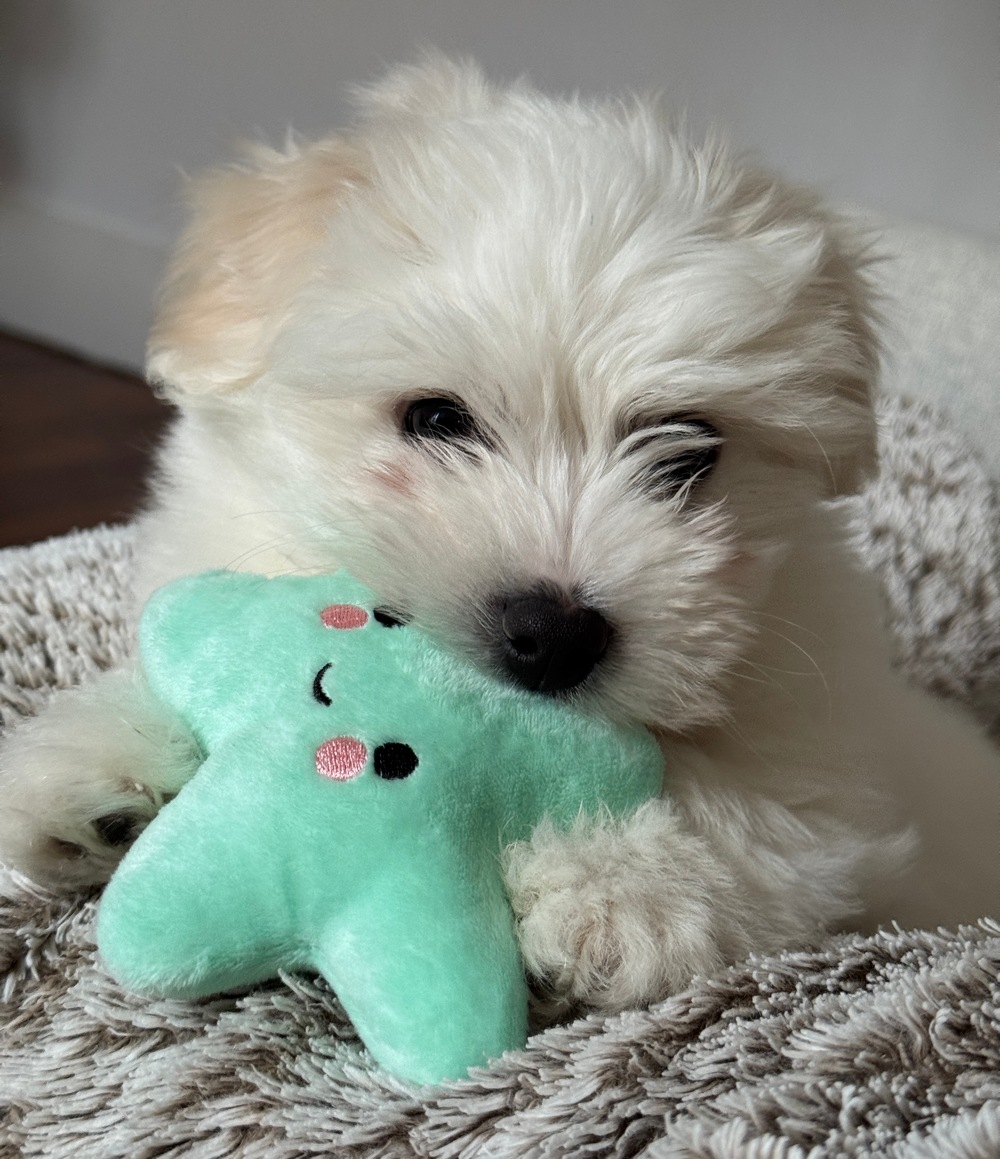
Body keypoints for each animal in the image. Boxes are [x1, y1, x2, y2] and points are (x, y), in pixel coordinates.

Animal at [2, 56, 998, 1017]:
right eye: (437, 418)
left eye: (690, 453)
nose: (554, 634)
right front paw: (96, 768)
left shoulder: (830, 766)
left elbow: (763, 811)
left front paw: (620, 896)